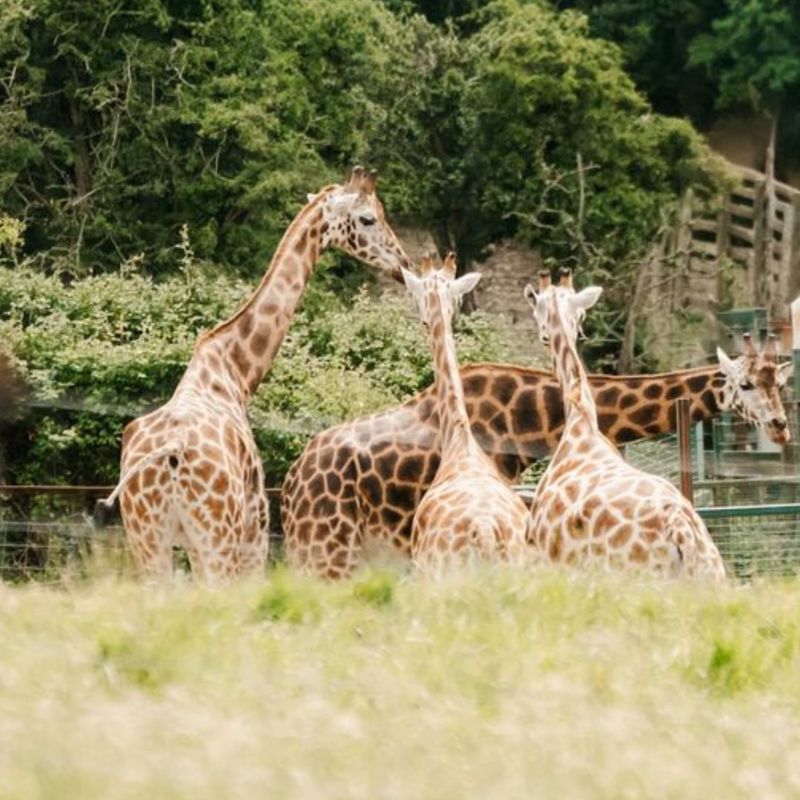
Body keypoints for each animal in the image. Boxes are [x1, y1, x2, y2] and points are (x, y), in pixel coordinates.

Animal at [96, 167, 410, 582]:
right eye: (368, 218)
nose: (403, 265)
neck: (235, 372)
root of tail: (170, 453)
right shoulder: (255, 528)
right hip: (218, 536)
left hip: (148, 540)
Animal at [281, 311, 790, 579]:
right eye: (745, 384)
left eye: (779, 383)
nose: (781, 426)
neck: (528, 418)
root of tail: (291, 478)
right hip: (324, 546)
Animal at [526, 269, 726, 581]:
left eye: (536, 309)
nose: (543, 336)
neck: (581, 418)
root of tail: (681, 532)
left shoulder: (546, 560)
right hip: (712, 575)